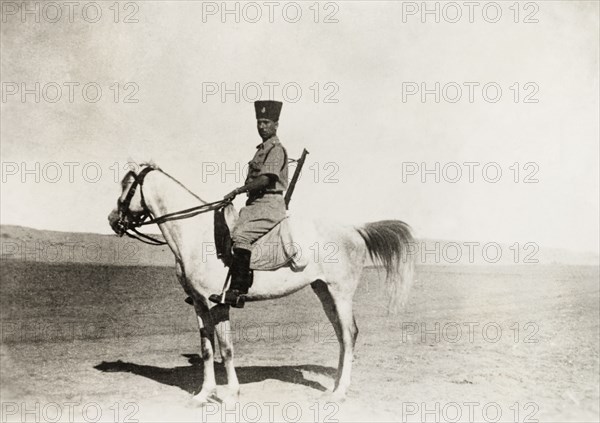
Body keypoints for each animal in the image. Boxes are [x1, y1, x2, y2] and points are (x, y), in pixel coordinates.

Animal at [106, 162, 412, 404]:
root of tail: (355, 229)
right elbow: (207, 350)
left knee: (349, 335)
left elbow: (227, 349)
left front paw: (231, 395)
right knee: (341, 335)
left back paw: (340, 391)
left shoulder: (219, 305)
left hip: (341, 293)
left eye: (127, 186)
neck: (197, 234)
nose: (112, 220)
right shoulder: (199, 304)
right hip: (323, 291)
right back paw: (334, 386)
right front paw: (204, 395)